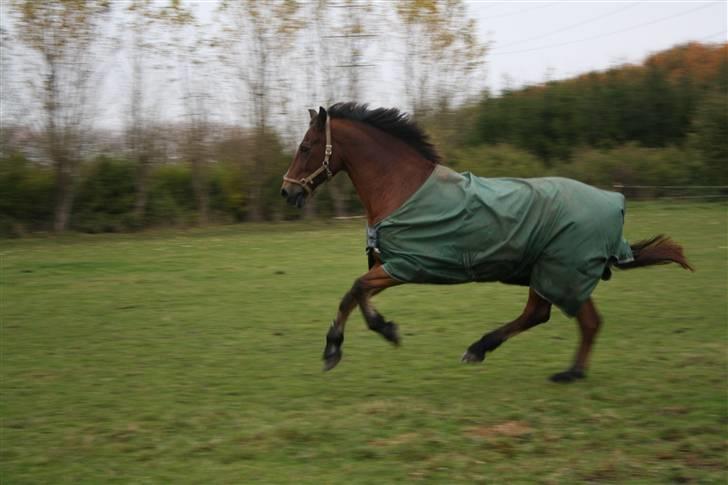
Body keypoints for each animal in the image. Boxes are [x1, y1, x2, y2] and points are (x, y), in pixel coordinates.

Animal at [280, 103, 692, 382]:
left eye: (305, 146)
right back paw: (520, 359)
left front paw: (368, 336)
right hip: (551, 271)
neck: (402, 188)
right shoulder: (393, 265)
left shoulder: (407, 266)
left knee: (567, 318)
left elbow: (356, 290)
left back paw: (540, 365)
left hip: (560, 270)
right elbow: (355, 294)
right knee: (557, 317)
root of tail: (613, 204)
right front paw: (346, 343)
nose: (287, 192)